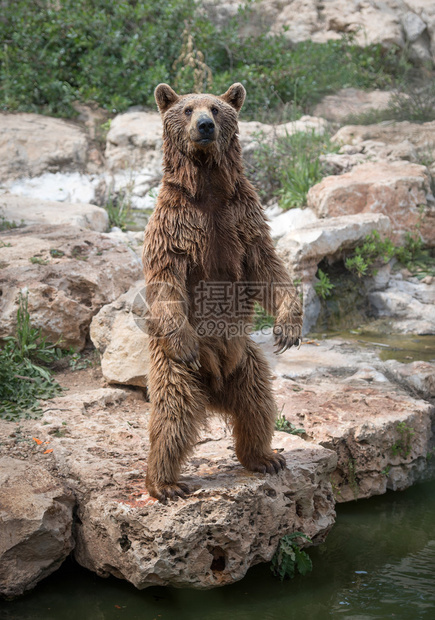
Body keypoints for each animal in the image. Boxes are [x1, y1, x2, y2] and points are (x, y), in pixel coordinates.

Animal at [143, 82, 304, 502]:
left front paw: (288, 328)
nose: (204, 126)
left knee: (258, 406)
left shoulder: (243, 220)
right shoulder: (174, 226)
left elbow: (268, 269)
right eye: (186, 109)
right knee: (174, 414)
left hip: (246, 361)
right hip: (175, 367)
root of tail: (215, 390)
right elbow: (166, 279)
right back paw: (165, 483)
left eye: (216, 108)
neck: (208, 185)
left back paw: (265, 457)